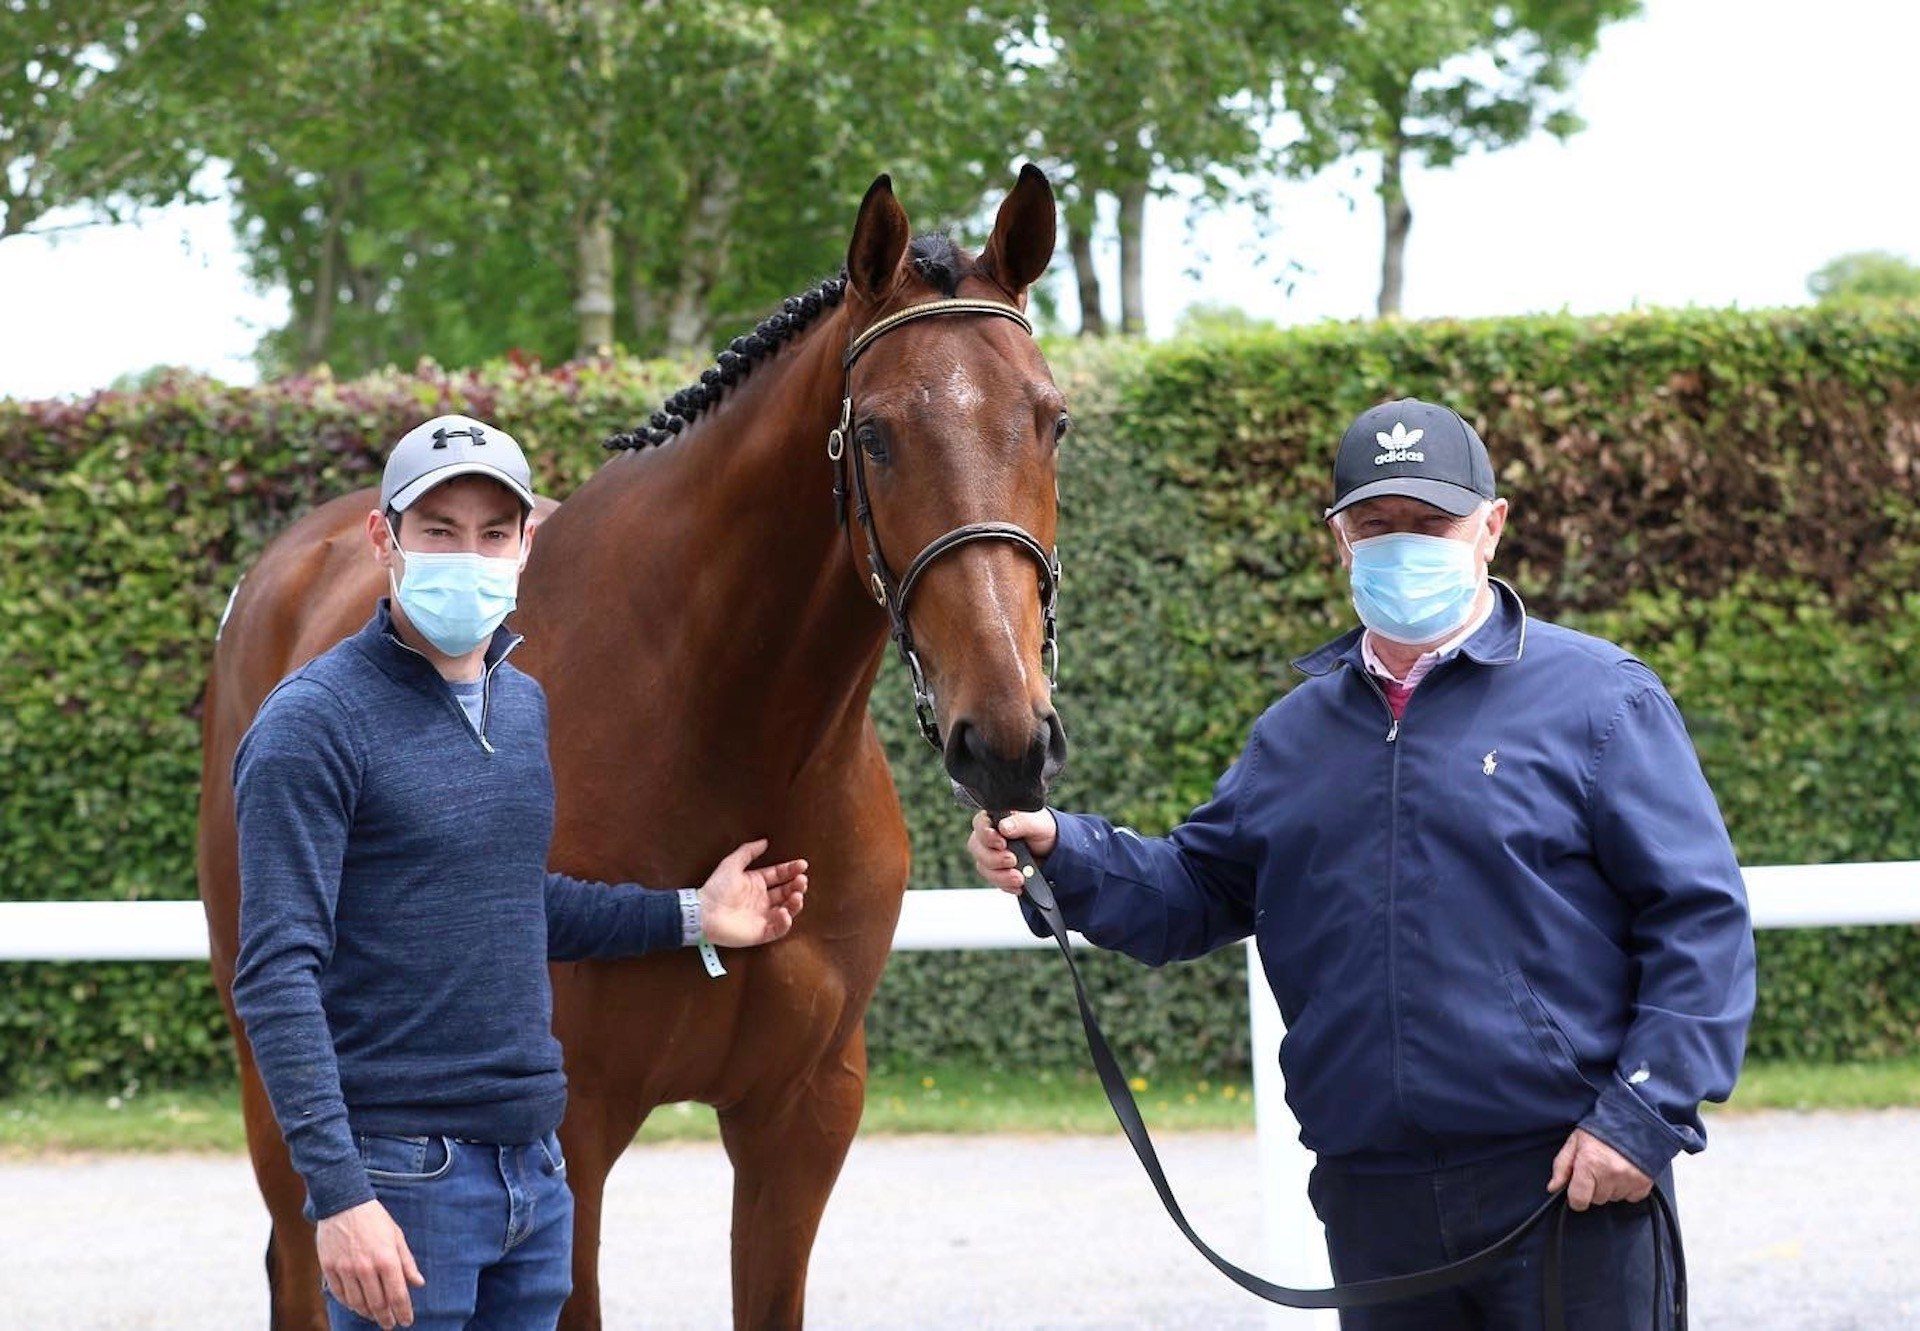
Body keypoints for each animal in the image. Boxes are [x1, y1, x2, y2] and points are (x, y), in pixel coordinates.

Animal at [196, 169, 1075, 1329]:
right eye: (878, 434)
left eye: (1053, 420)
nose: (1008, 737)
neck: (727, 741)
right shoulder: (568, 1132)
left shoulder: (803, 1115)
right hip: (274, 1070)